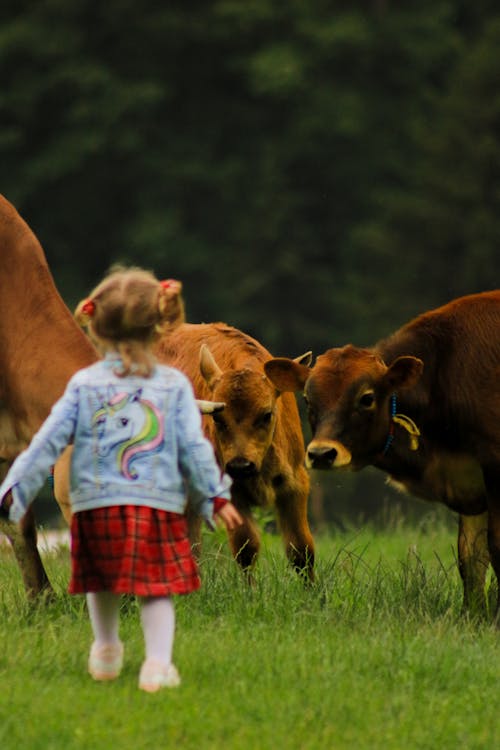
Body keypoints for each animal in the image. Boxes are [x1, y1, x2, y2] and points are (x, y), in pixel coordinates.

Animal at [156, 324, 314, 580]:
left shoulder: (295, 485)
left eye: (267, 414)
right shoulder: (230, 490)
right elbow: (246, 547)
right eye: (218, 418)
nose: (241, 465)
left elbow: (301, 548)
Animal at [266, 292, 500, 616]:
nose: (322, 454)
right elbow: (472, 558)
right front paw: (473, 617)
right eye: (307, 399)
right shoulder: (473, 483)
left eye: (367, 398)